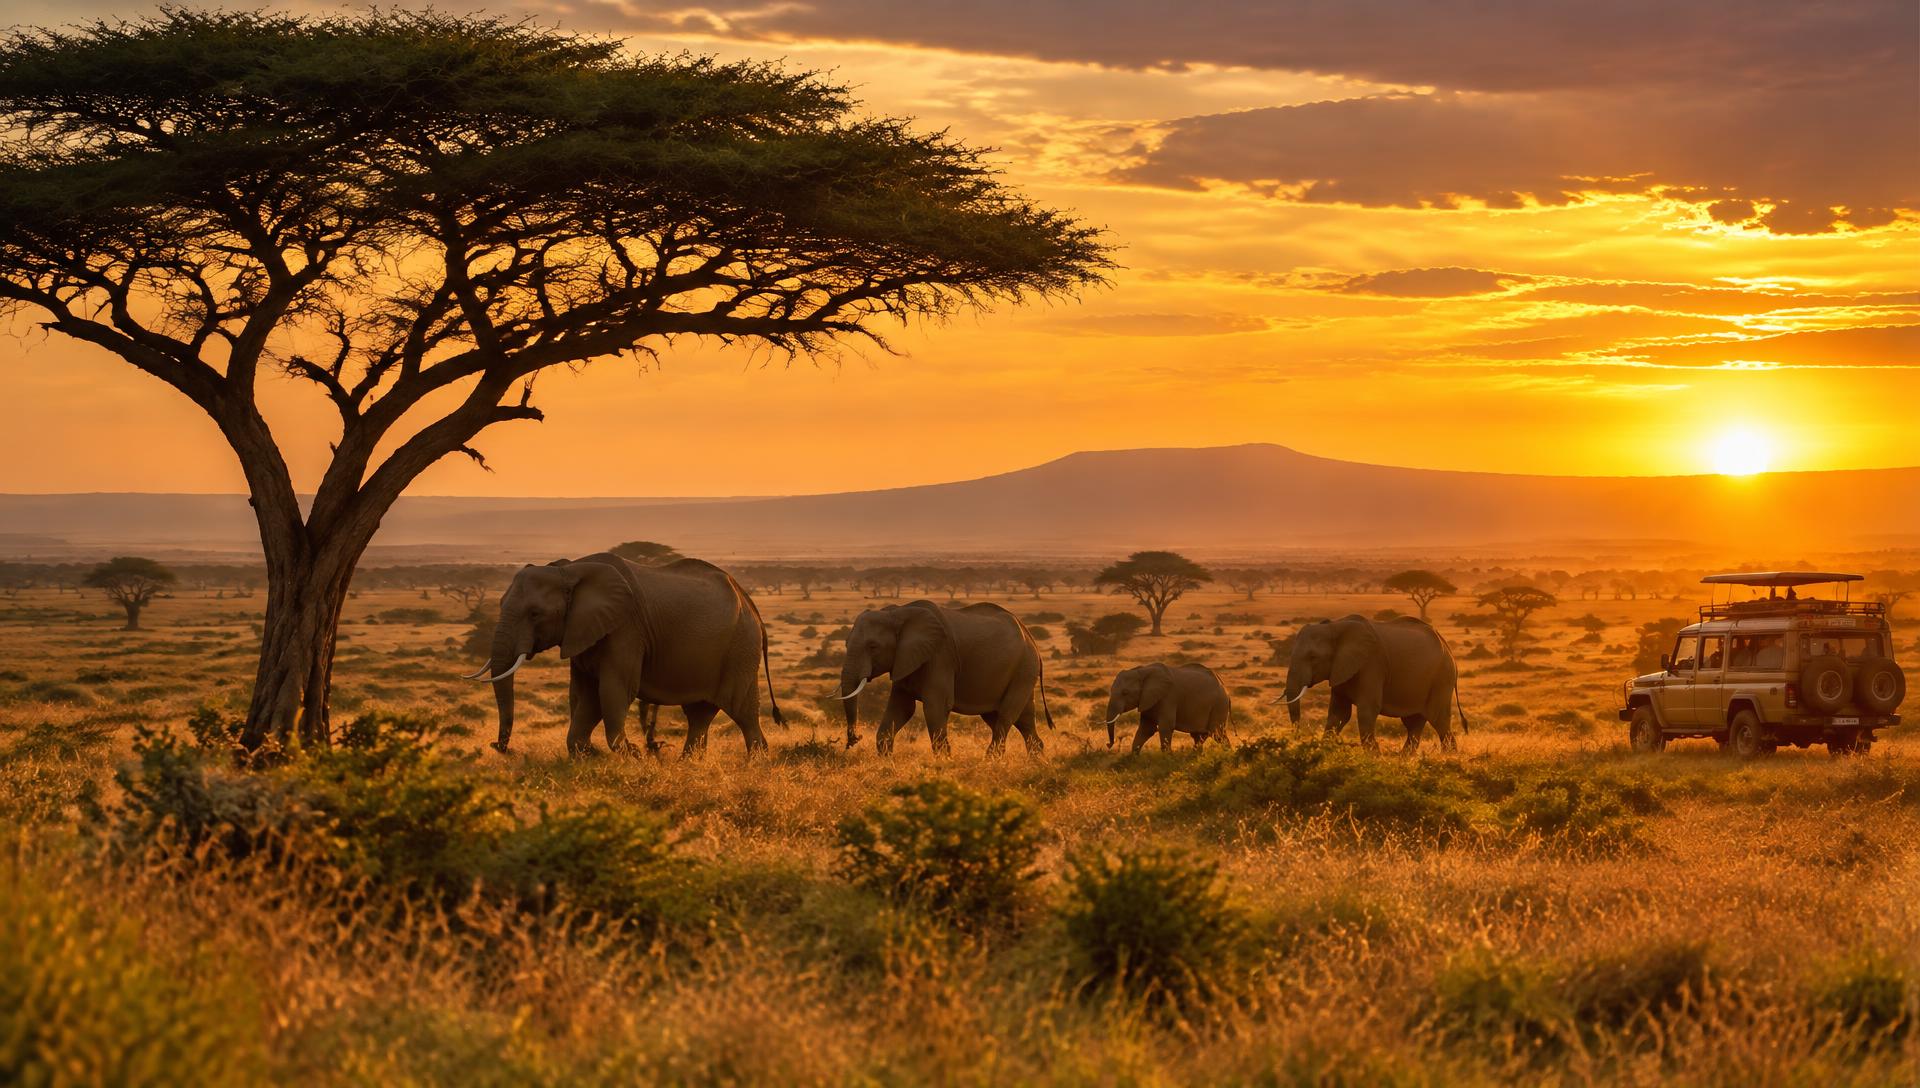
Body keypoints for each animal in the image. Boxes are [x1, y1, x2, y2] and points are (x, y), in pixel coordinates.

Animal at [467, 552, 783, 756]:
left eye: (535, 614)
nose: (499, 747)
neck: (568, 569)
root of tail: (751, 605)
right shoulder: (584, 632)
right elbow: (583, 693)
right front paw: (586, 754)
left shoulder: (626, 628)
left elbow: (611, 690)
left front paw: (629, 755)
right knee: (699, 714)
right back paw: (688, 765)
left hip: (740, 648)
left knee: (742, 711)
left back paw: (756, 765)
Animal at [839, 600, 1054, 755]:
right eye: (846, 643)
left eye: (873, 647)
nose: (854, 740)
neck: (897, 613)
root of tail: (1030, 637)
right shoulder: (905, 660)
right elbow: (902, 708)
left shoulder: (940, 656)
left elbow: (936, 706)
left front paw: (943, 765)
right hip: (1020, 671)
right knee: (1020, 719)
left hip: (1024, 669)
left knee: (1006, 715)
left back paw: (990, 762)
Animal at [1279, 615, 1465, 752]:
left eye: (1313, 657)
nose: (1297, 737)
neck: (1335, 626)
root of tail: (1449, 650)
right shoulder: (1341, 669)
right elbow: (1338, 714)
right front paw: (1324, 752)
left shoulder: (1371, 664)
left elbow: (1367, 710)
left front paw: (1373, 756)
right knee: (1414, 723)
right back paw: (1404, 759)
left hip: (1441, 679)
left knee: (1438, 719)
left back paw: (1449, 757)